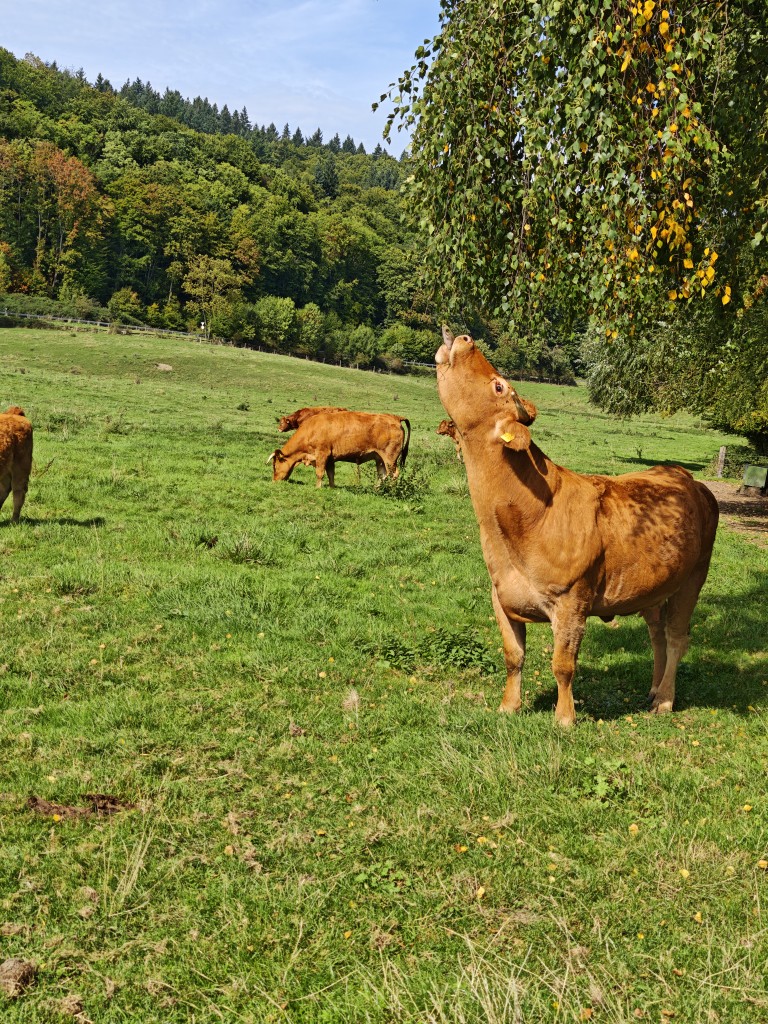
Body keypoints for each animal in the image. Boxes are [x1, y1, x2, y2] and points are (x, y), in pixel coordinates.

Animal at [269, 410, 410, 488]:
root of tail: (395, 418)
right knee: (383, 475)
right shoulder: (330, 459)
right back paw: (376, 489)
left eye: (275, 466)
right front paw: (332, 487)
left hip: (389, 459)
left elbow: (320, 473)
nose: (274, 481)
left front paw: (318, 487)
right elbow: (331, 474)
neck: (311, 429)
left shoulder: (322, 454)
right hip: (379, 458)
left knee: (394, 474)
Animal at [436, 326, 719, 726]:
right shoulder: (500, 595)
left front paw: (565, 718)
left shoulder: (572, 601)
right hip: (655, 585)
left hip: (694, 576)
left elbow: (563, 665)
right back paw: (652, 689)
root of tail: (685, 477)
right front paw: (509, 706)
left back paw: (664, 700)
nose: (463, 338)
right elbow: (513, 657)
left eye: (499, 385)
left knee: (677, 637)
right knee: (657, 635)